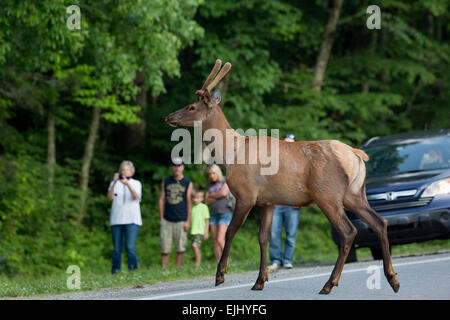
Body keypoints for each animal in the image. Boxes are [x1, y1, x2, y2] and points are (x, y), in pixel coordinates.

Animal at [163, 58, 400, 294]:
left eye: (192, 106)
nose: (168, 116)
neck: (230, 155)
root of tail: (357, 155)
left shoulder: (246, 194)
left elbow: (230, 231)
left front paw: (220, 275)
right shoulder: (266, 201)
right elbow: (263, 238)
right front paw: (260, 280)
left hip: (327, 194)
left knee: (348, 231)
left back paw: (329, 283)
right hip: (354, 194)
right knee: (380, 222)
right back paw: (392, 279)